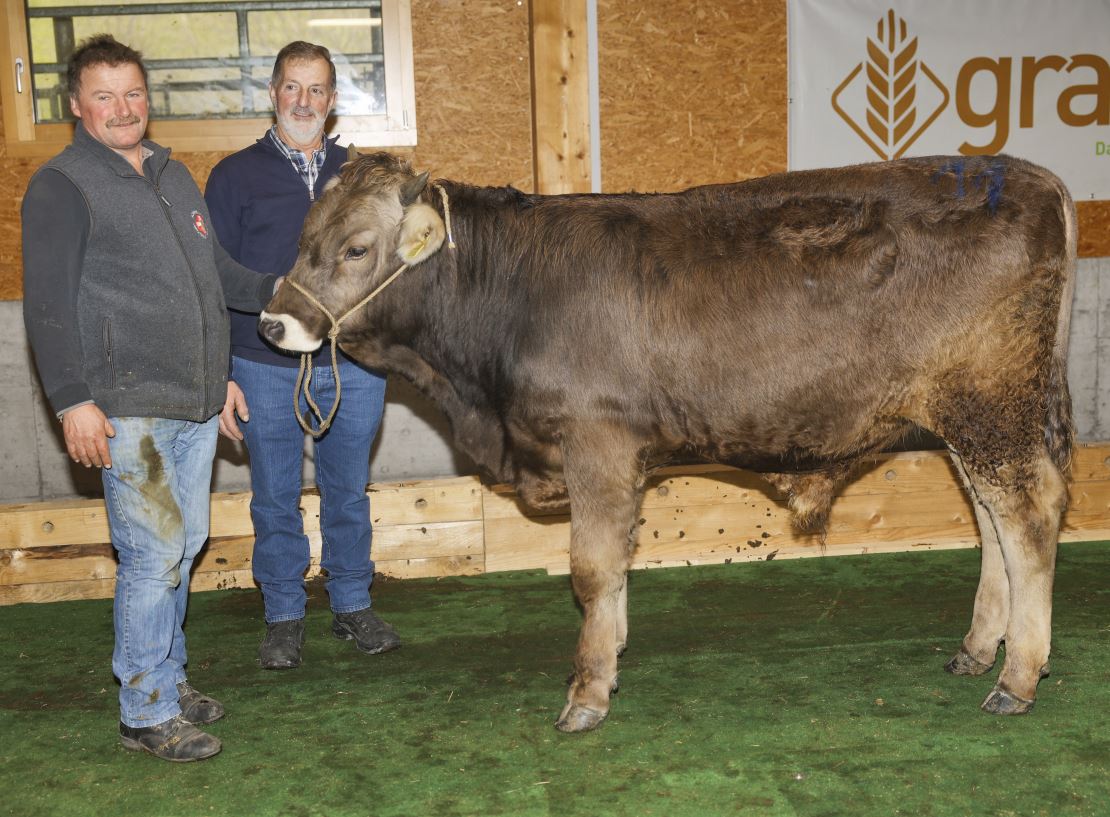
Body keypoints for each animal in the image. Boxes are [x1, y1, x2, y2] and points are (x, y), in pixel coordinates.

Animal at [259, 153, 1074, 732]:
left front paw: (587, 692)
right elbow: (616, 563)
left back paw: (1017, 677)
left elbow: (590, 568)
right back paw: (978, 649)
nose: (272, 322)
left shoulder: (597, 443)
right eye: (303, 238)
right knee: (993, 524)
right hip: (969, 418)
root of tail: (1027, 174)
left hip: (991, 405)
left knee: (1029, 517)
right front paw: (610, 654)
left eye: (356, 249)